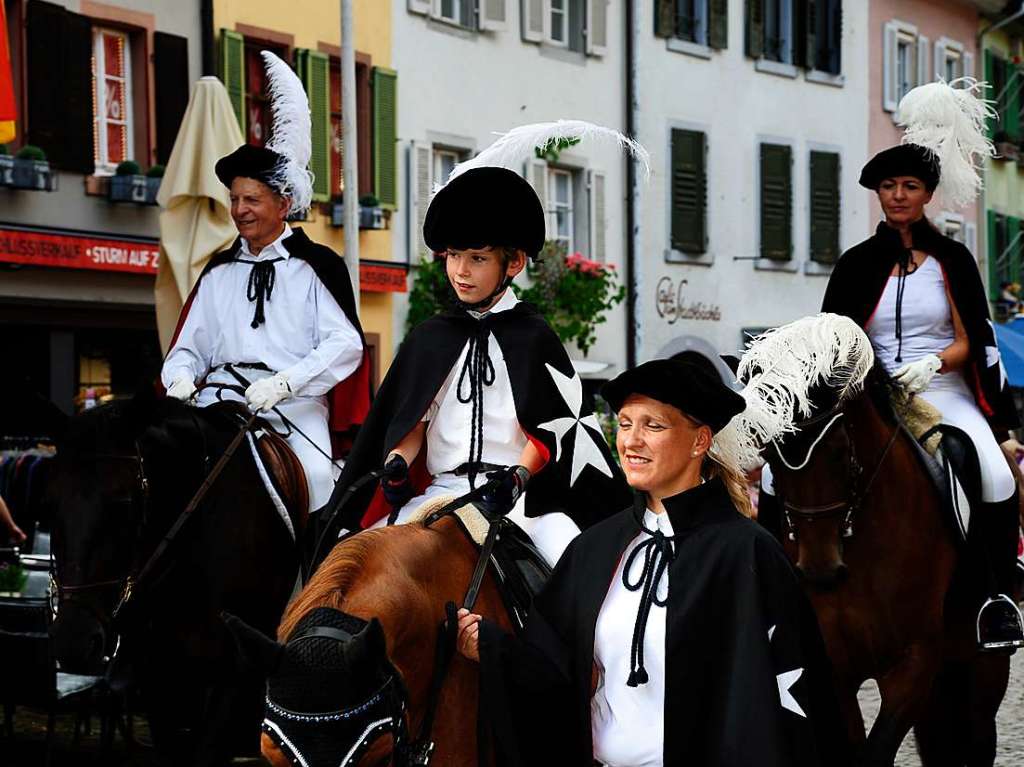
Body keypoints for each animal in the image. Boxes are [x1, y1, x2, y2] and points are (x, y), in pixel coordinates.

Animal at [765, 364, 1011, 761]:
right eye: (770, 457)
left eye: (839, 452)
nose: (820, 571)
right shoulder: (834, 667)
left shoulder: (915, 660)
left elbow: (876, 751)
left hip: (982, 663)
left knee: (978, 735)